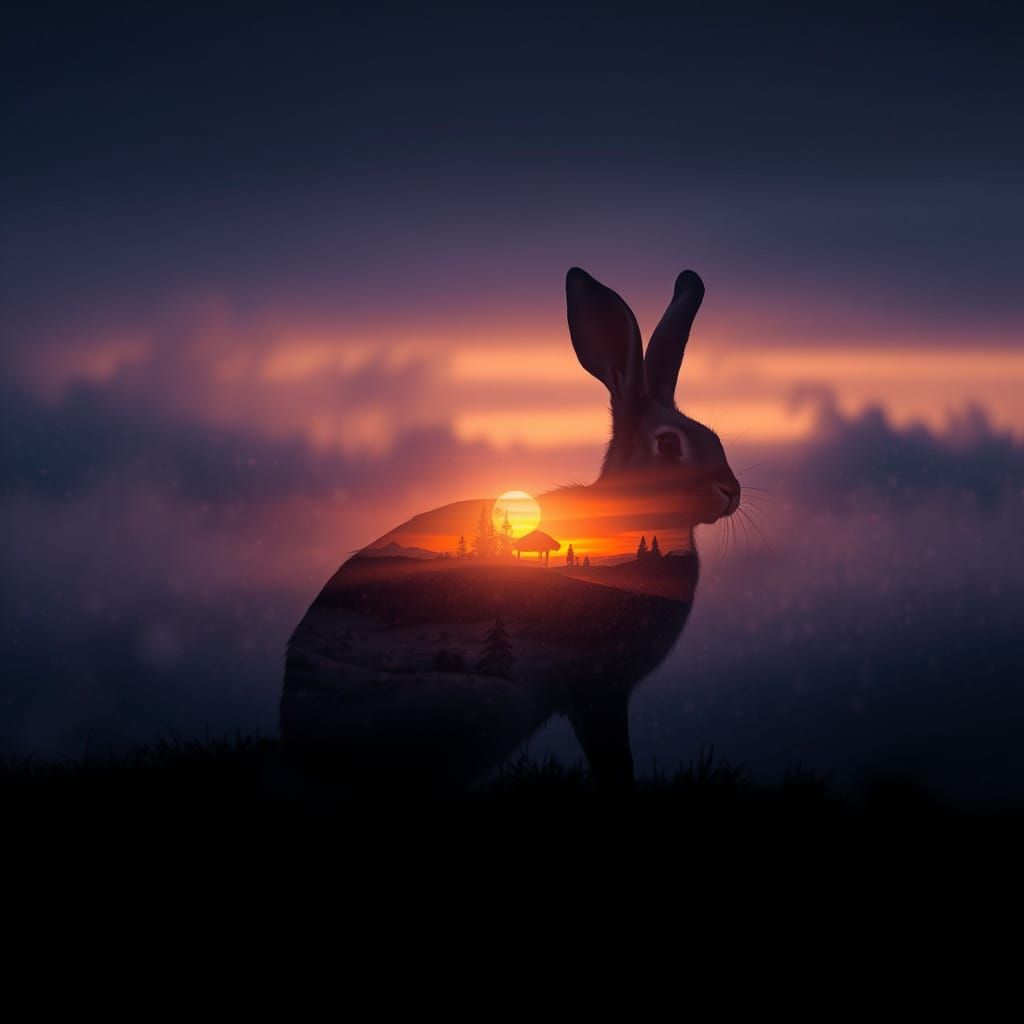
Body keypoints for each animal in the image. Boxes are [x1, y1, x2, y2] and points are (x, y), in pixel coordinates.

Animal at [281, 267, 740, 790]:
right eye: (667, 446)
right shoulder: (598, 687)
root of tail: (300, 740)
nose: (732, 491)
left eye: (715, 438)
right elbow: (613, 757)